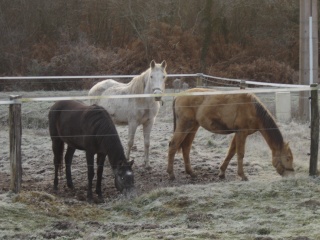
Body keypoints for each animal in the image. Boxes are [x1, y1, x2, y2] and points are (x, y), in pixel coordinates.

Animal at [168, 89, 296, 181]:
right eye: (288, 158)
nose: (291, 176)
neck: (252, 108)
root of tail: (178, 96)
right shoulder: (242, 133)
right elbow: (240, 153)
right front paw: (242, 175)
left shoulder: (238, 134)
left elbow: (231, 152)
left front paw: (222, 172)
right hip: (185, 126)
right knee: (173, 145)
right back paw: (171, 174)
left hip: (193, 127)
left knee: (186, 147)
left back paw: (191, 172)